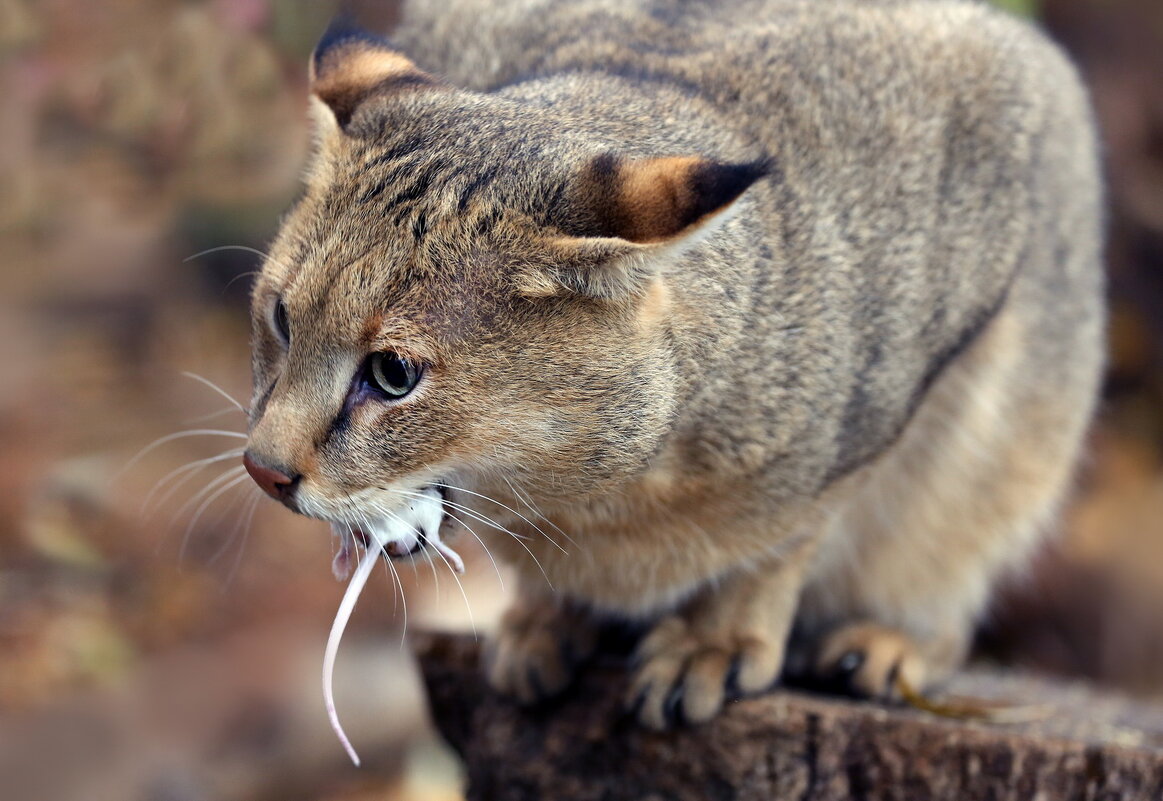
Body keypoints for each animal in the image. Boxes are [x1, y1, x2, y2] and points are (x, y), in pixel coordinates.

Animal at [238, 0, 1097, 748]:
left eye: (392, 374)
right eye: (281, 318)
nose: (262, 469)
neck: (608, 497)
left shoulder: (887, 401)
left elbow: (791, 531)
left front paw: (715, 640)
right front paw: (546, 615)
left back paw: (891, 641)